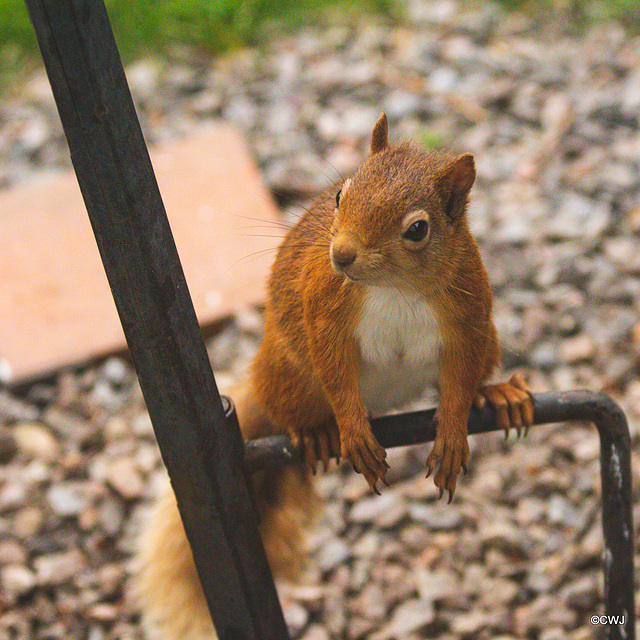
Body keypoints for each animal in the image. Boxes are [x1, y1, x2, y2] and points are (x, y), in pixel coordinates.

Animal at [136, 115, 536, 640]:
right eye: (341, 194)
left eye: (417, 229)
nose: (342, 255)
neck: (396, 289)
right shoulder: (325, 308)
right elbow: (335, 371)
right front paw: (351, 430)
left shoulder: (469, 317)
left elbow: (460, 379)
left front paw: (452, 433)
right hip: (288, 372)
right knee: (293, 405)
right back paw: (317, 432)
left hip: (489, 339)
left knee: (477, 377)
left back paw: (499, 393)